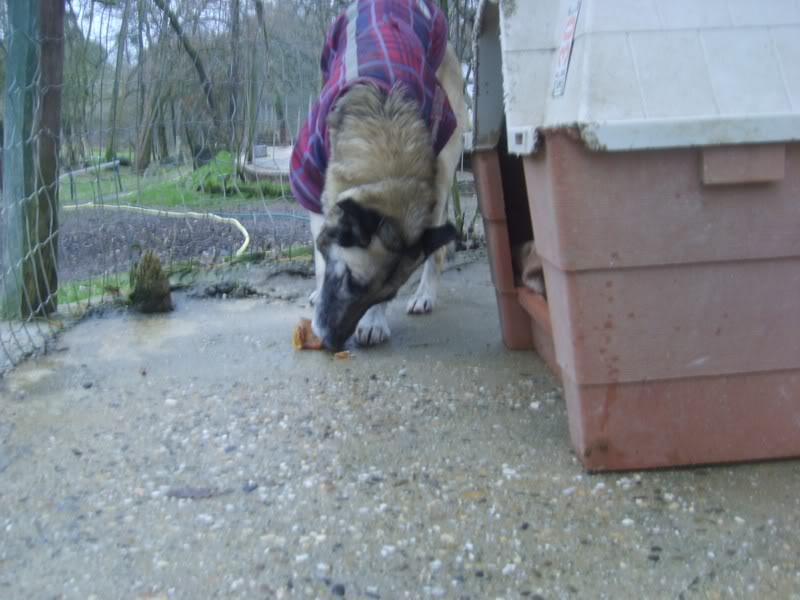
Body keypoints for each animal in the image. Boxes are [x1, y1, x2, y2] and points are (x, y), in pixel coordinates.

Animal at [290, 0, 466, 350]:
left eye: (382, 297)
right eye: (349, 282)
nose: (332, 343)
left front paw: (373, 322)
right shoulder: (311, 182)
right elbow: (320, 258)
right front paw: (319, 286)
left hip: (443, 172)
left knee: (437, 251)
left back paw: (425, 293)